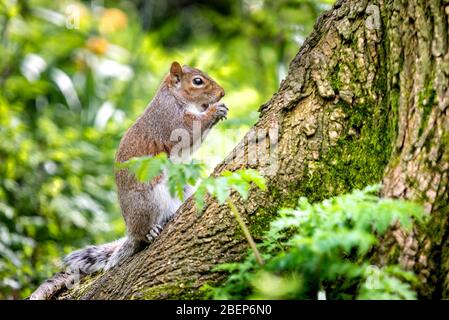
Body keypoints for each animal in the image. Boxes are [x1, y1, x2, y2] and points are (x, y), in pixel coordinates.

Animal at [30, 62, 228, 300]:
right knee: (143, 233)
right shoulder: (171, 121)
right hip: (148, 200)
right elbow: (190, 131)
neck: (174, 97)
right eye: (198, 81)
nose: (222, 93)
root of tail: (130, 231)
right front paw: (214, 111)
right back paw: (151, 231)